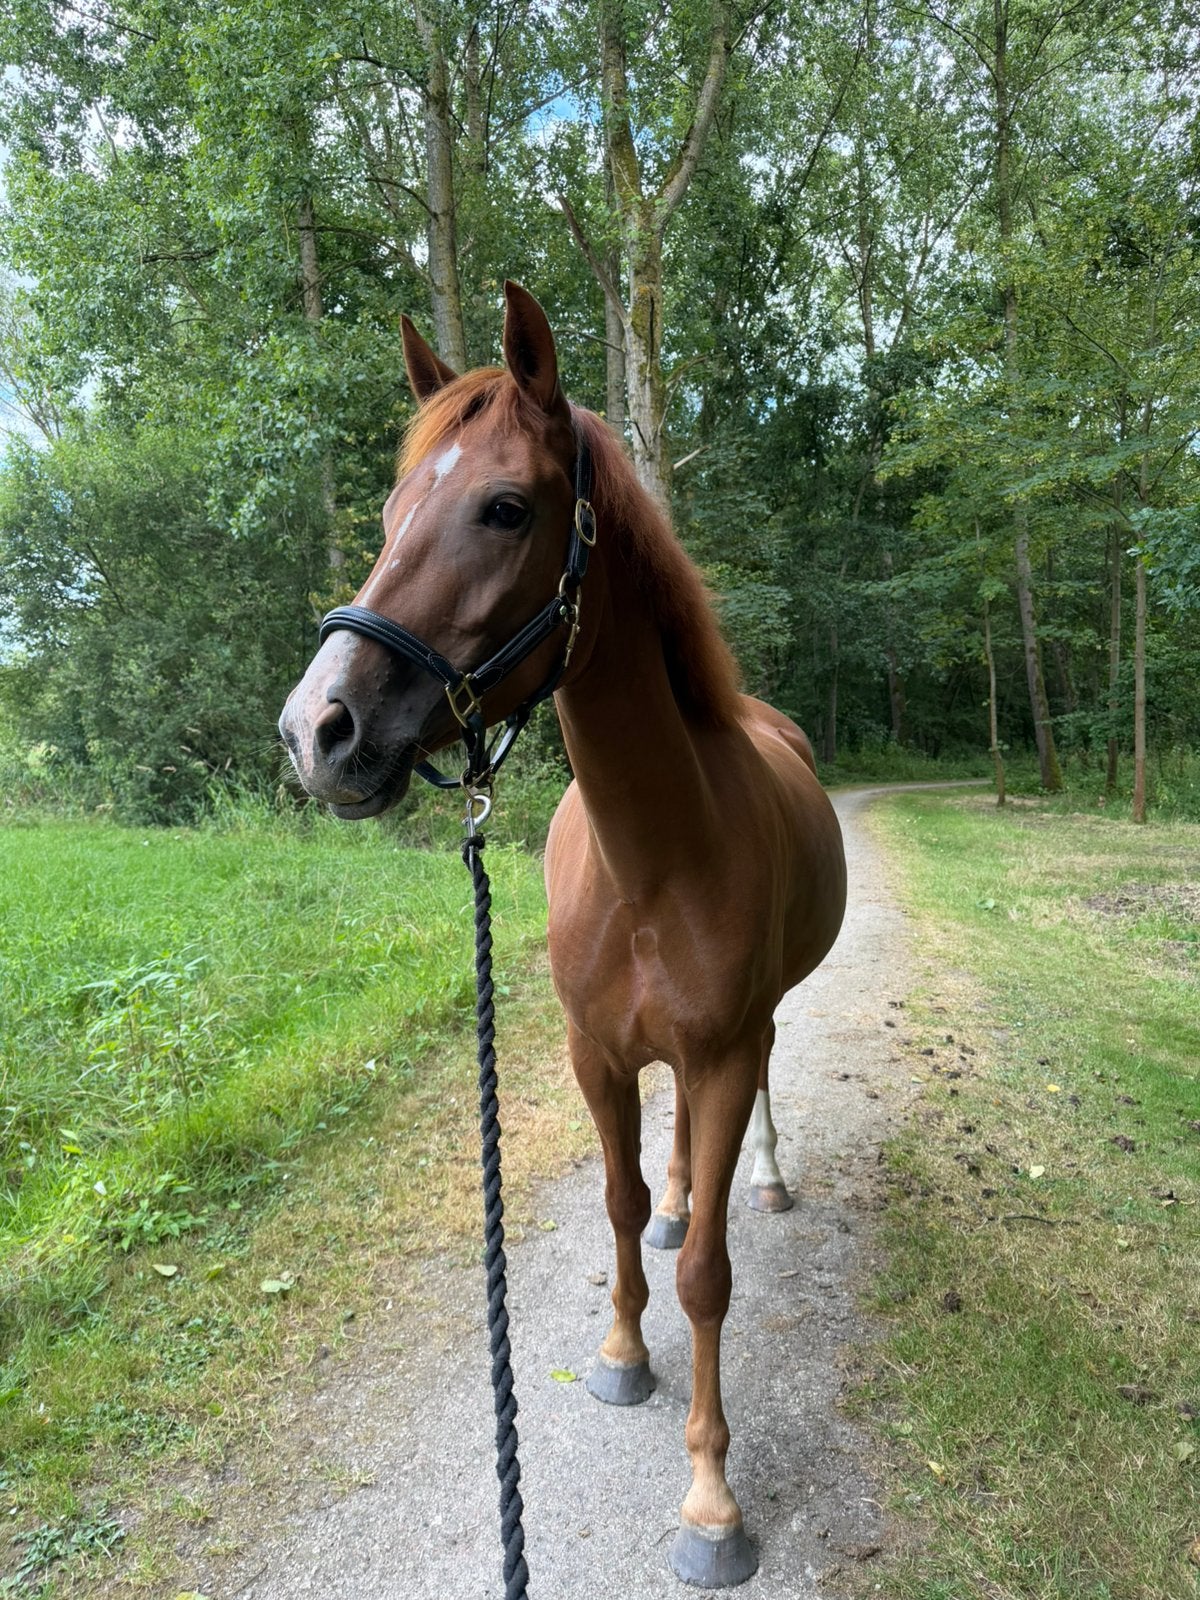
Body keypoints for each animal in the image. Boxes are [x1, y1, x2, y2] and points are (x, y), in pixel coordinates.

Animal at [279, 281, 847, 1587]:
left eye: (505, 506)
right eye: (389, 510)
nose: (316, 729)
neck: (656, 858)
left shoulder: (723, 1049)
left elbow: (706, 1274)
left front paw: (711, 1502)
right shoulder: (598, 1055)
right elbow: (627, 1209)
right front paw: (622, 1353)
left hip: (755, 1031)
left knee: (760, 1099)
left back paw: (768, 1175)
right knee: (676, 1161)